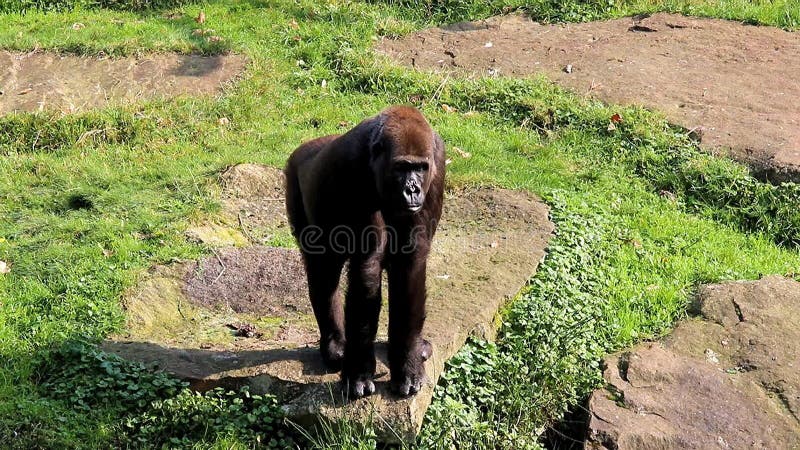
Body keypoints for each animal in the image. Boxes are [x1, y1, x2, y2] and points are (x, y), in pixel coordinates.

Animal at [282, 105, 446, 398]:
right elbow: (366, 267)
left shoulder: (437, 166)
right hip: (294, 181)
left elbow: (410, 266)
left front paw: (407, 363)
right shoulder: (352, 168)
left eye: (420, 168)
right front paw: (358, 372)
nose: (413, 190)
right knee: (323, 273)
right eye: (401, 167)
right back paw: (335, 345)